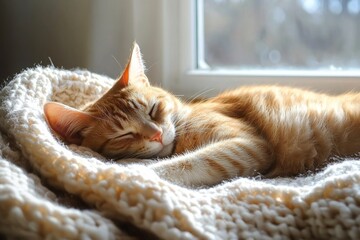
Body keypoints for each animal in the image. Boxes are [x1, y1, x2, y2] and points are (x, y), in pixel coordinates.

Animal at [44, 43, 360, 188]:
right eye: (125, 134)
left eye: (153, 109)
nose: (156, 135)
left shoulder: (246, 144)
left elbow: (182, 163)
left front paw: (130, 171)